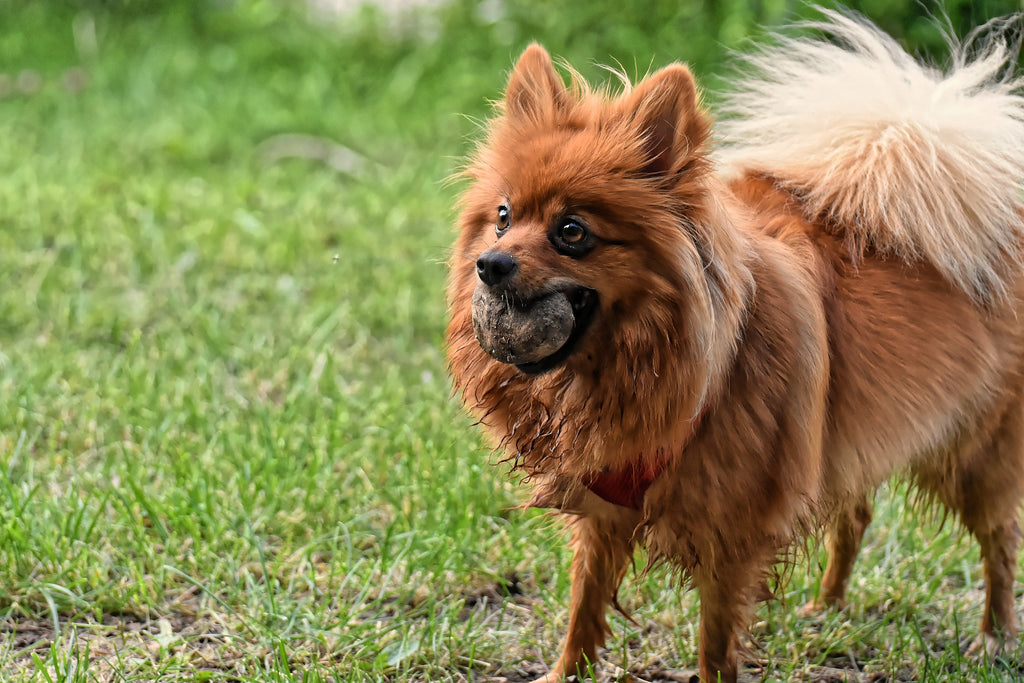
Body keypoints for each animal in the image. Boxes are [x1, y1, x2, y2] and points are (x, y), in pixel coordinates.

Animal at [444, 10, 1024, 683]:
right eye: (503, 218)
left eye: (571, 232)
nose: (490, 264)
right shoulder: (603, 507)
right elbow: (584, 606)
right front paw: (567, 672)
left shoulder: (732, 531)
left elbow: (715, 640)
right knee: (854, 515)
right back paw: (827, 606)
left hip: (975, 455)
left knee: (999, 540)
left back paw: (995, 635)